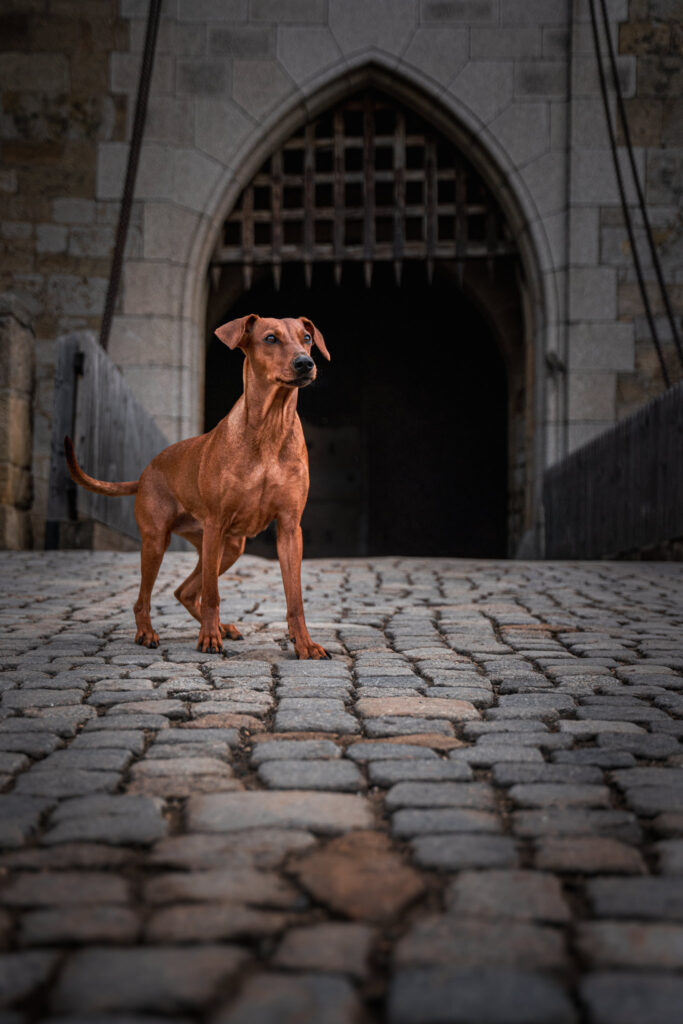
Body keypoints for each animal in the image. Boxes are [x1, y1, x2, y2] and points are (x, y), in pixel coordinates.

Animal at [66, 315, 331, 659]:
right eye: (270, 338)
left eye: (307, 338)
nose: (305, 363)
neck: (270, 427)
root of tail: (146, 472)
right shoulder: (216, 524)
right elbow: (213, 596)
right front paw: (208, 639)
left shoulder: (289, 528)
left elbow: (295, 600)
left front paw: (305, 644)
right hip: (161, 542)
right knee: (147, 598)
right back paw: (149, 632)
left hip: (228, 548)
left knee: (185, 591)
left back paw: (221, 627)